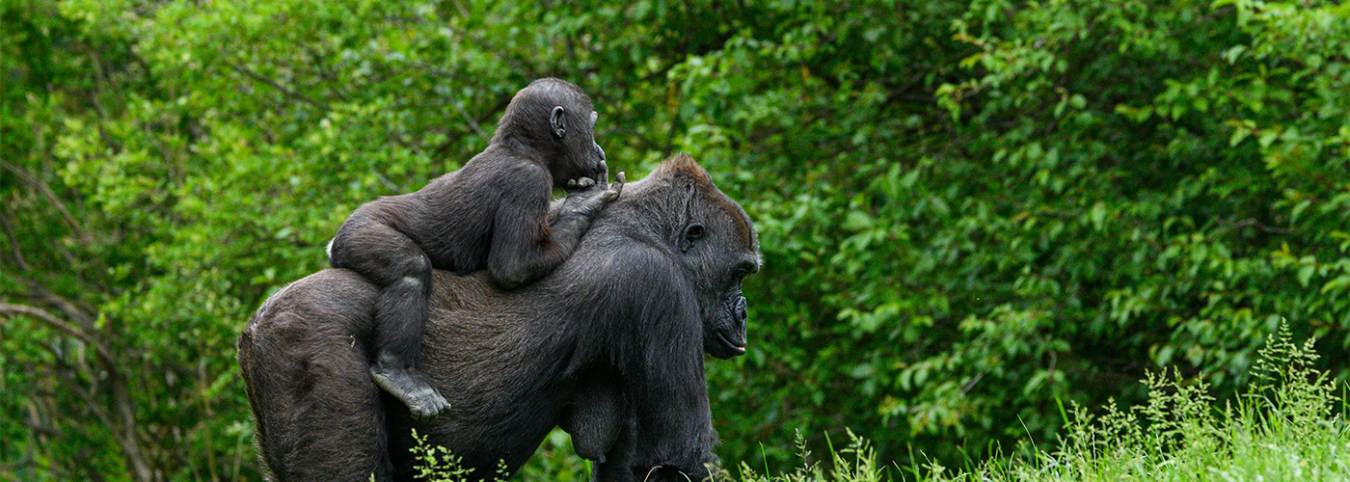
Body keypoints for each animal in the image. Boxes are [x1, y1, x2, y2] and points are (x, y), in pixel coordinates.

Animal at [324, 78, 622, 421]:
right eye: (591, 127)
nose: (598, 149)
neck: (525, 150)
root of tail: (333, 242)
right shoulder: (528, 182)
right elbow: (512, 267)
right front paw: (583, 208)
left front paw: (579, 203)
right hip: (360, 232)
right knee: (411, 270)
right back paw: (397, 372)